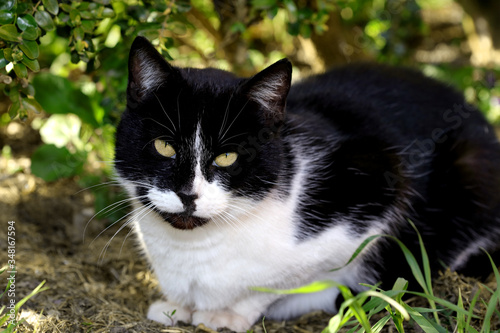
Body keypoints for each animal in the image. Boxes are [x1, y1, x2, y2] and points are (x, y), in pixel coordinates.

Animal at [115, 37, 500, 330]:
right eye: (164, 146)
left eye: (227, 157)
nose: (188, 194)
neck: (194, 248)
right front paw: (176, 306)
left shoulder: (380, 176)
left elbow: (276, 284)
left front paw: (227, 314)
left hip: (471, 169)